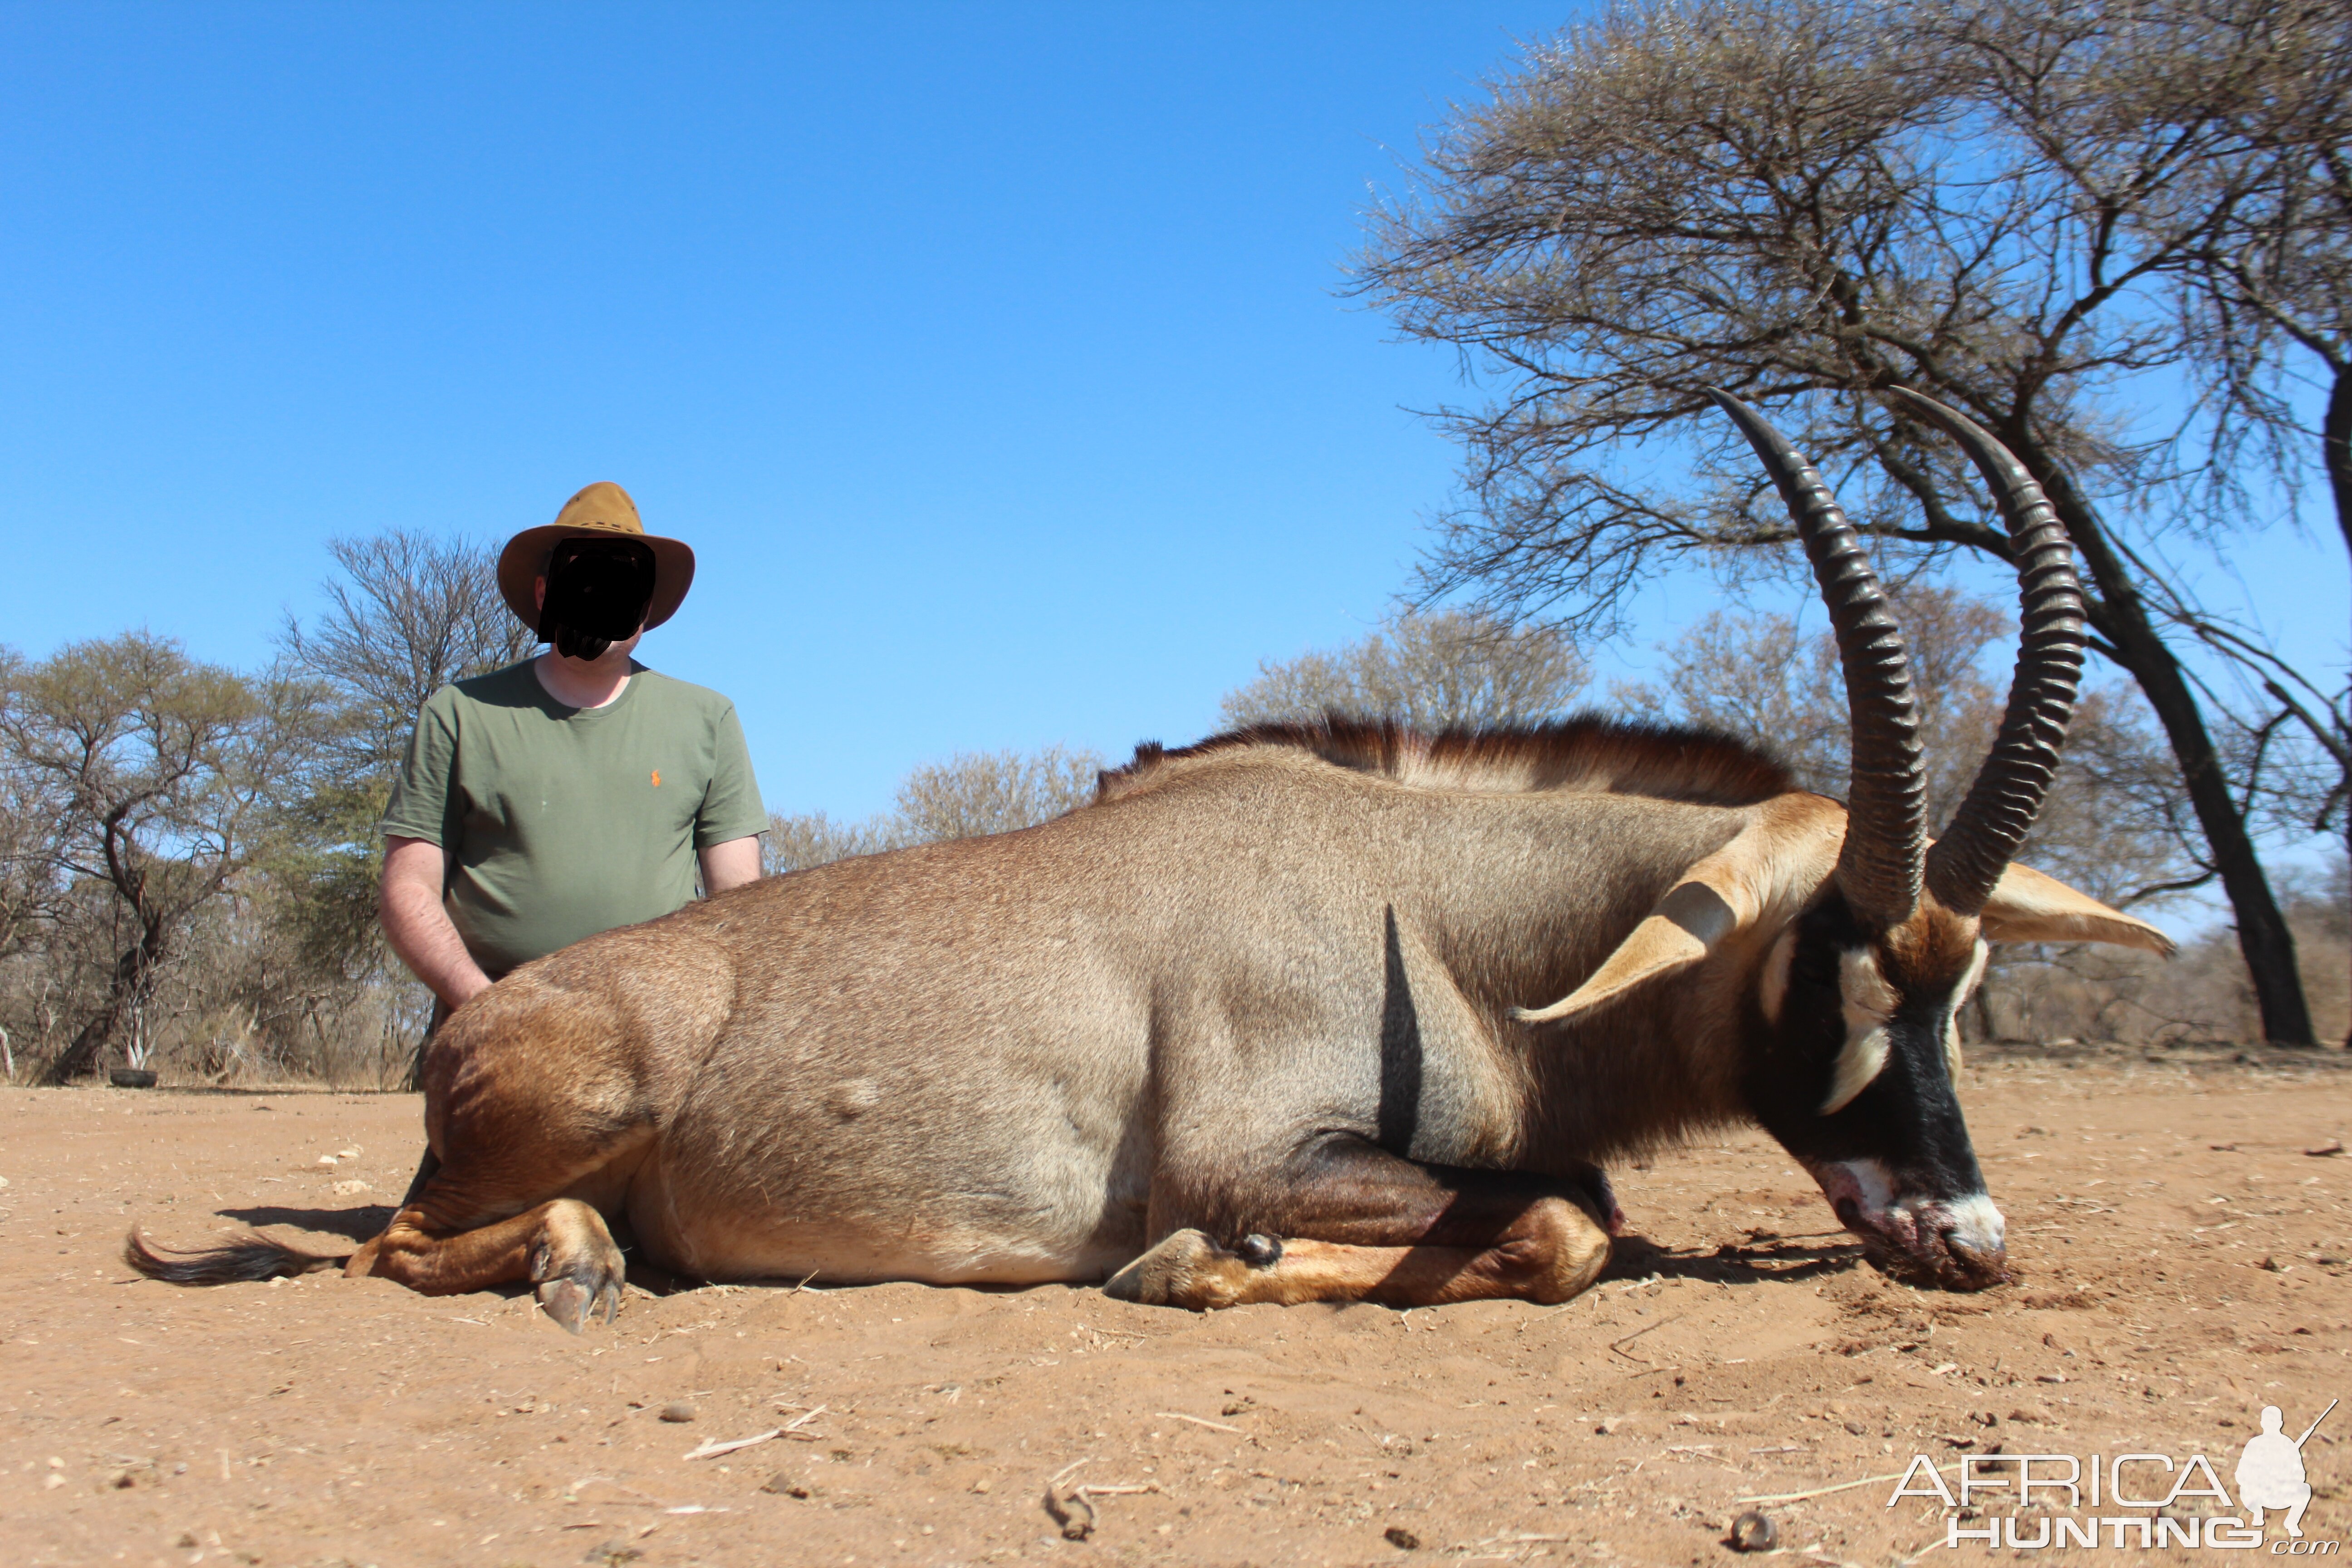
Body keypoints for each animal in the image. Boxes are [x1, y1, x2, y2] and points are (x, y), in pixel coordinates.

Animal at [137, 390, 2164, 1326]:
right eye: (1827, 962)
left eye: (1966, 983)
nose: (1968, 1238)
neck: (1446, 915)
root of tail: (475, 1023)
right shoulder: (1260, 1149)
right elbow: (1565, 1225)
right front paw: (1192, 1271)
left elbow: (1575, 1207)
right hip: (561, 1111)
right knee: (393, 1240)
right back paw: (570, 1262)